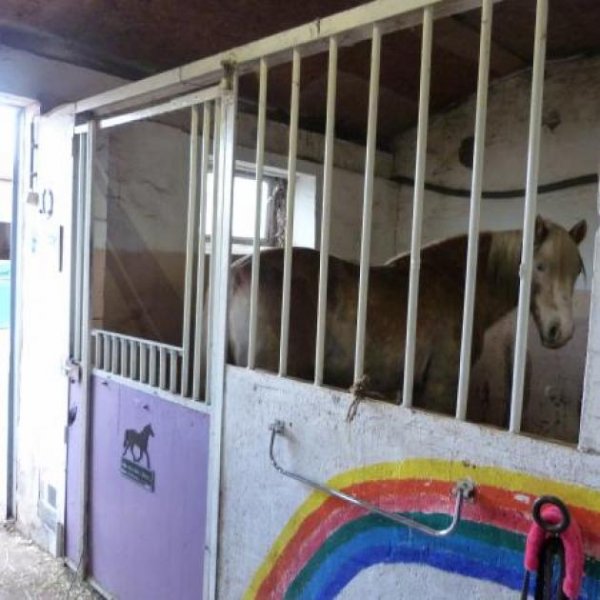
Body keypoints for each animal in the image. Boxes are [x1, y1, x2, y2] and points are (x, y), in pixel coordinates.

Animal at [229, 217, 584, 418]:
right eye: (540, 267)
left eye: (578, 270)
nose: (562, 331)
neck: (457, 285)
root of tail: (239, 270)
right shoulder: (440, 388)